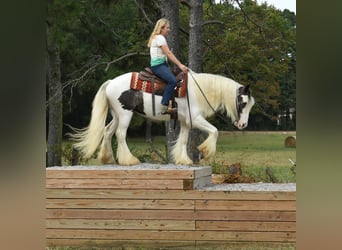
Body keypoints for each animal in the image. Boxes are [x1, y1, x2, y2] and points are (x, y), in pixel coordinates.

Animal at [69, 69, 254, 165]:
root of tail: (110, 82)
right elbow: (214, 131)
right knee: (120, 134)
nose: (243, 125)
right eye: (243, 103)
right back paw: (129, 160)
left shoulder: (186, 122)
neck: (196, 90)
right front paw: (205, 152)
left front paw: (183, 160)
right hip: (125, 114)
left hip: (116, 115)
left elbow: (183, 140)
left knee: (107, 132)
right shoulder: (195, 118)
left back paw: (107, 159)